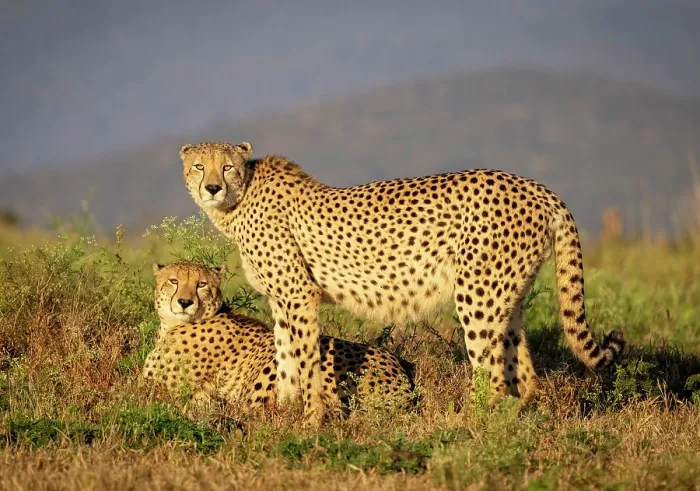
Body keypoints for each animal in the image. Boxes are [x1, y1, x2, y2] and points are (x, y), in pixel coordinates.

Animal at [178, 140, 625, 425]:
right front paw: (281, 413)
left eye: (227, 166)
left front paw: (310, 422)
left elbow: (306, 361)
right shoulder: (282, 301)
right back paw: (516, 419)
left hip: (477, 293)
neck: (240, 199)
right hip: (507, 295)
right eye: (199, 165)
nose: (212, 187)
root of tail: (536, 187)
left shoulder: (299, 296)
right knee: (525, 374)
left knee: (493, 375)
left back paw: (465, 428)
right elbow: (287, 358)